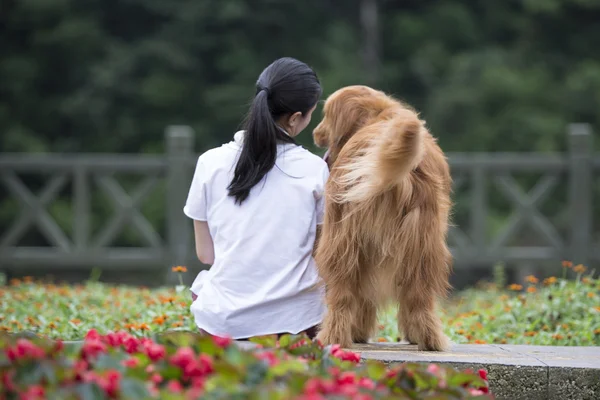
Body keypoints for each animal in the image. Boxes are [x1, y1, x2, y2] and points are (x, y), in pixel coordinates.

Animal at [314, 84, 450, 350]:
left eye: (325, 116)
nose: (315, 132)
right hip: (422, 244)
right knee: (418, 297)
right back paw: (428, 339)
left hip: (343, 240)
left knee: (342, 296)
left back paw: (332, 337)